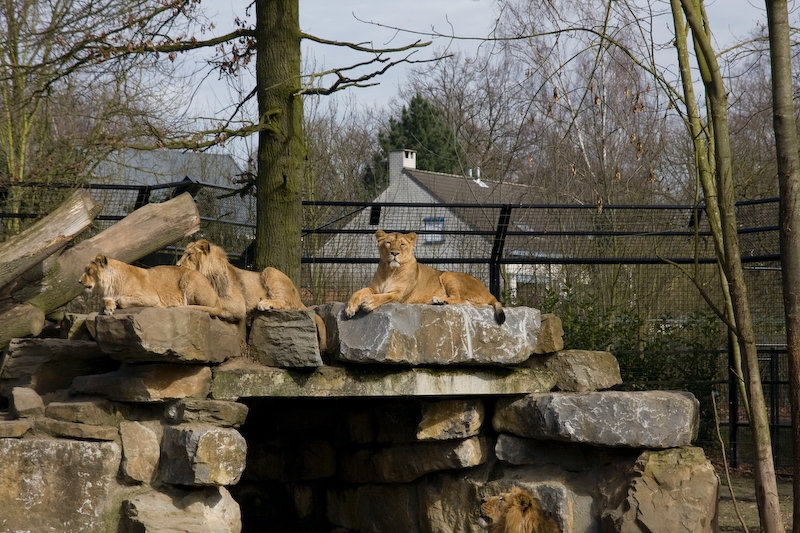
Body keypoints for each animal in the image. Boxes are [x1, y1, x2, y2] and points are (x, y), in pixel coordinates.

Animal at [78, 254, 237, 321]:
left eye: (88, 270)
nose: (79, 281)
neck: (110, 284)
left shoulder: (152, 297)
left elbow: (123, 300)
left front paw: (115, 303)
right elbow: (106, 299)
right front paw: (109, 308)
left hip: (189, 278)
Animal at [177, 239, 326, 349]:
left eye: (189, 255)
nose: (177, 265)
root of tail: (300, 298)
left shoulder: (238, 304)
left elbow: (217, 304)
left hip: (269, 270)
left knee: (286, 304)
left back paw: (265, 303)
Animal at [345, 230, 505, 324]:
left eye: (402, 244)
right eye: (389, 243)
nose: (395, 253)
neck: (390, 270)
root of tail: (489, 292)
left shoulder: (399, 294)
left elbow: (384, 297)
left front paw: (368, 303)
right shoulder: (373, 288)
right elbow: (357, 292)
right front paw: (350, 308)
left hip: (448, 274)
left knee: (458, 298)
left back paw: (439, 300)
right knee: (465, 302)